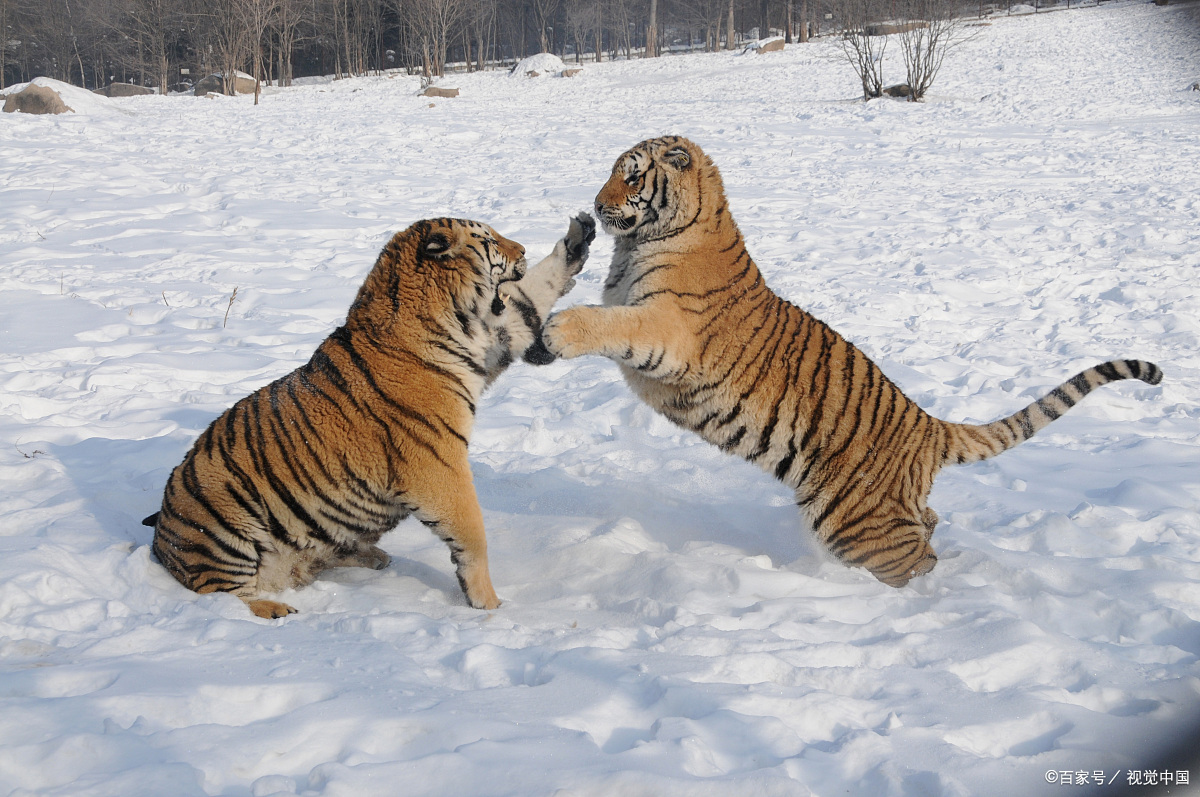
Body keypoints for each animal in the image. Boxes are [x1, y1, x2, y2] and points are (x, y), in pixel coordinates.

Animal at [147, 211, 597, 614]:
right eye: (488, 239)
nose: (521, 250)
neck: (457, 320)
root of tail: (160, 534)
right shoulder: (437, 465)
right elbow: (473, 532)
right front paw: (487, 603)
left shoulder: (494, 339)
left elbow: (531, 296)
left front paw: (579, 237)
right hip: (221, 524)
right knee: (220, 594)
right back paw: (276, 610)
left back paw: (371, 556)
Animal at [544, 135, 1161, 585]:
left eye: (631, 175)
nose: (596, 205)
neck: (646, 240)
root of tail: (928, 426)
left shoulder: (668, 328)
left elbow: (611, 323)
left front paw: (559, 329)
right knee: (929, 524)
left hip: (858, 521)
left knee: (918, 562)